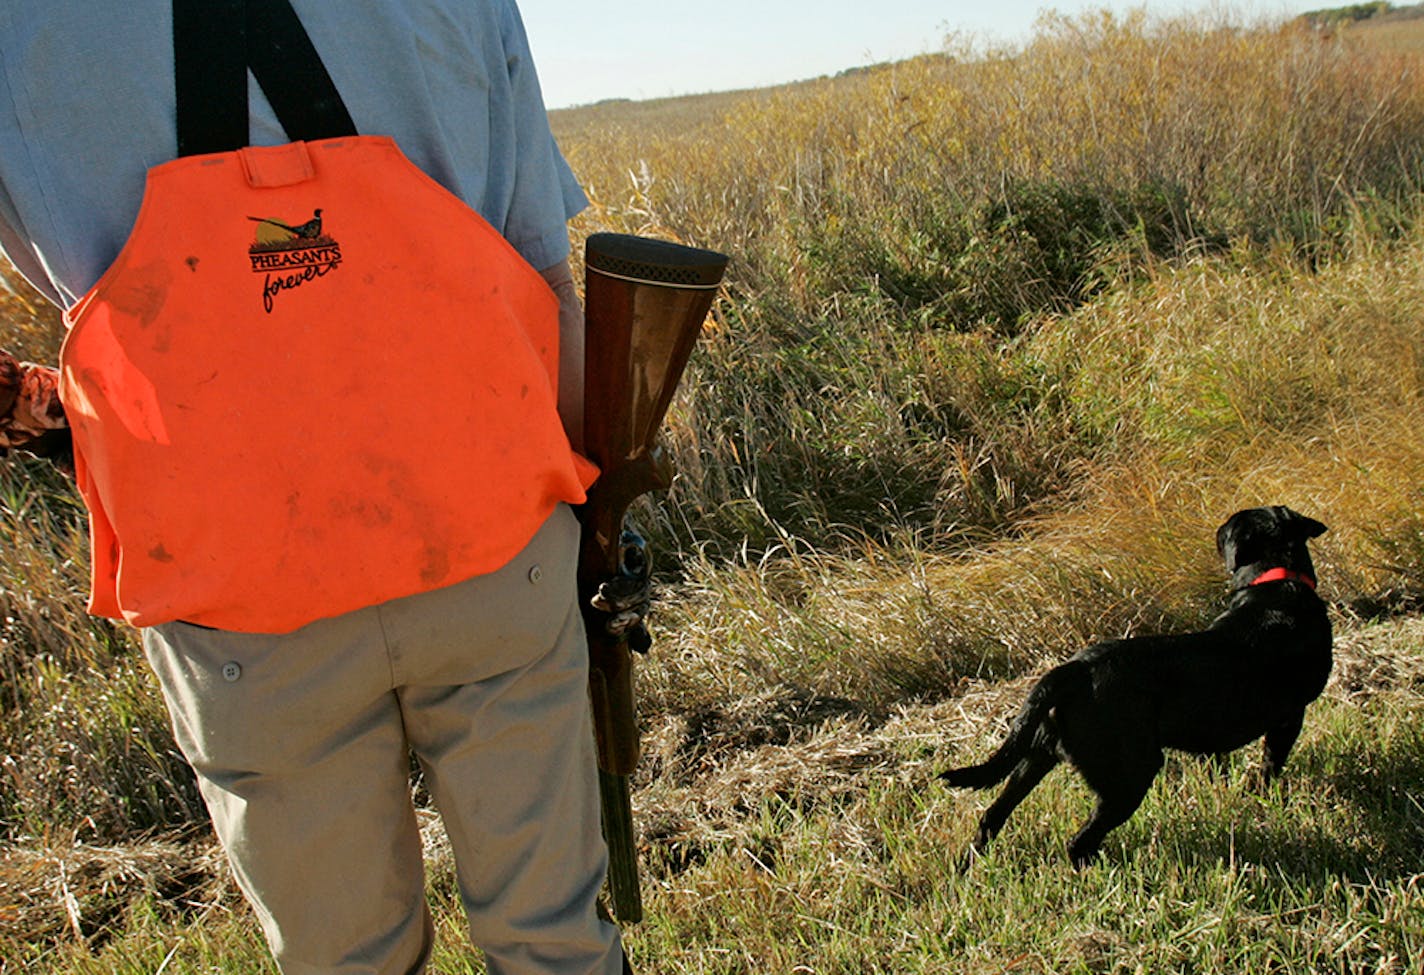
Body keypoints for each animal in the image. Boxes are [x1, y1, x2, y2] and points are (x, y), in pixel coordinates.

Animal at [939, 506, 1327, 865]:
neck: (1277, 583)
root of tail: (1074, 669)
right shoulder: (1290, 718)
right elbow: (1270, 764)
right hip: (1131, 772)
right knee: (1079, 841)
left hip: (1037, 755)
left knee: (992, 817)